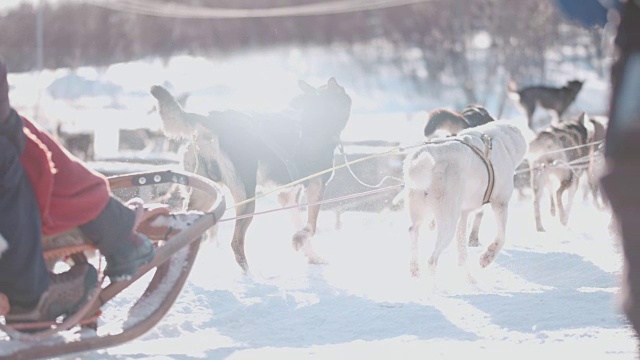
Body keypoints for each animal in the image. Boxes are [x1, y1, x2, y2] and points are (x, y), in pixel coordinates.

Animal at [150, 78, 352, 270]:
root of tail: (212, 119)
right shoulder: (317, 186)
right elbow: (311, 226)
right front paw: (300, 240)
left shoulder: (287, 196)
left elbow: (301, 224)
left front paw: (311, 255)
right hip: (246, 198)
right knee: (236, 243)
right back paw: (249, 273)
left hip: (205, 193)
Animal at [402, 121, 528, 276]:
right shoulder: (500, 203)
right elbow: (501, 237)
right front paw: (487, 257)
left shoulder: (464, 214)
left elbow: (462, 246)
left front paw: (464, 270)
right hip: (448, 222)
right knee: (432, 260)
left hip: (422, 211)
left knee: (413, 231)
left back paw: (415, 270)